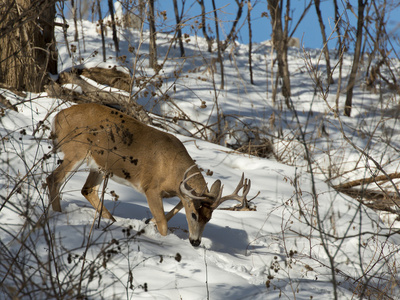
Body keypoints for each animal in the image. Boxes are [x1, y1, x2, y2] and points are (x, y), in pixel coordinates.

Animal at [46, 103, 253, 246]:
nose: (195, 242)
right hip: (76, 150)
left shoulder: (179, 191)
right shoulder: (151, 187)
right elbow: (163, 224)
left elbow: (175, 208)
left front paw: (148, 221)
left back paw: (111, 221)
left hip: (98, 164)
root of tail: (57, 117)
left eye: (209, 218)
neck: (172, 170)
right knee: (53, 178)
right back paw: (57, 214)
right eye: (194, 215)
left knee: (87, 189)